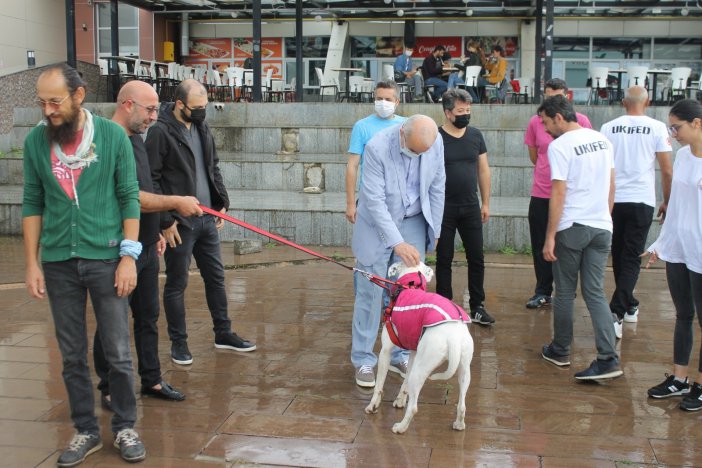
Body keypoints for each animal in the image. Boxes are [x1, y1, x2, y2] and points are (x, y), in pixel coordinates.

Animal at [366, 262, 476, 434]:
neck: (409, 286)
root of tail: (453, 337)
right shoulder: (413, 352)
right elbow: (405, 381)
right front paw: (400, 400)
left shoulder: (385, 351)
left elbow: (379, 386)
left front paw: (373, 406)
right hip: (464, 370)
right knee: (462, 405)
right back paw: (459, 424)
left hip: (421, 370)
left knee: (413, 408)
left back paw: (400, 427)